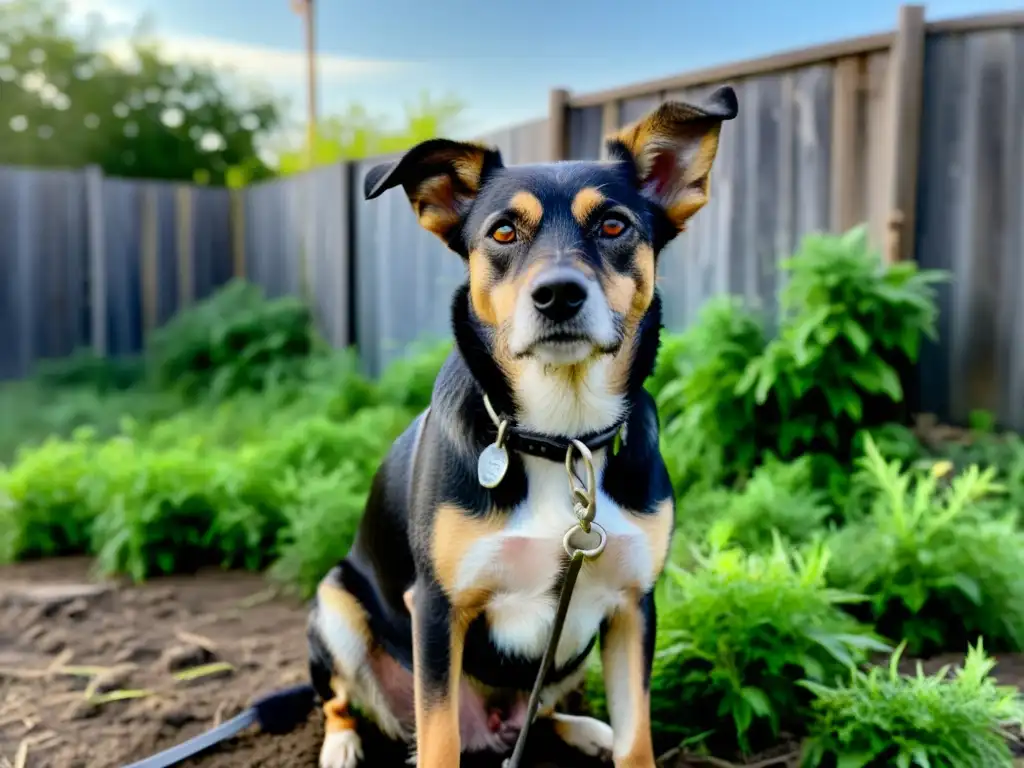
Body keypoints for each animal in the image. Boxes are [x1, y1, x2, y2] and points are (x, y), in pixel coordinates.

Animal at [303, 87, 737, 765]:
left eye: (614, 225)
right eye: (503, 231)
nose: (558, 294)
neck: (562, 439)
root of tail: (493, 729)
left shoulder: (634, 607)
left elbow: (637, 738)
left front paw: (618, 738)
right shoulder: (436, 609)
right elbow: (439, 740)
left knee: (542, 715)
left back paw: (585, 730)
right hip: (334, 604)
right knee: (342, 700)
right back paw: (342, 745)